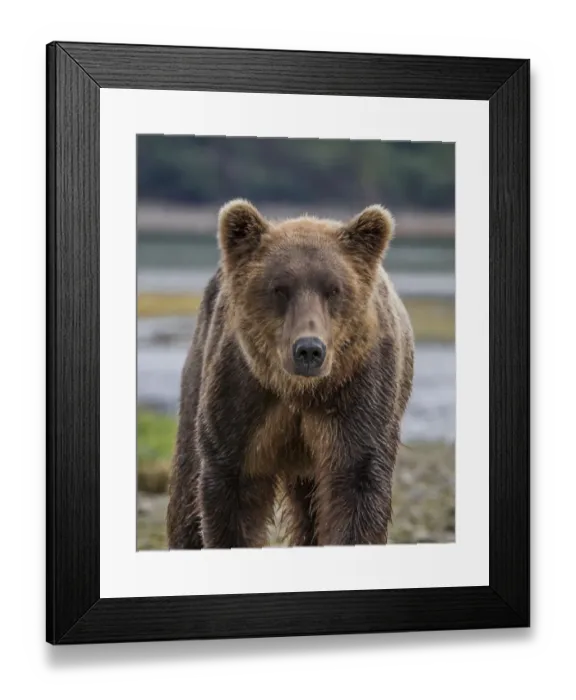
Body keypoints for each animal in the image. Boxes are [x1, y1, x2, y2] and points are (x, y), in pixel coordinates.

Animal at [166, 199, 415, 549]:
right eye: (279, 288)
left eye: (334, 289)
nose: (309, 350)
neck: (298, 391)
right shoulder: (243, 396)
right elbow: (231, 491)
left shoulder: (358, 394)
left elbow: (357, 484)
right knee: (187, 486)